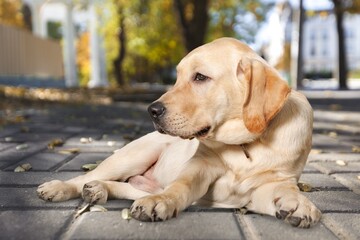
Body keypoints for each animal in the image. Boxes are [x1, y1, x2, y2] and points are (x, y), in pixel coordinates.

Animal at [38, 37, 322, 227]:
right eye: (176, 77)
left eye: (200, 77)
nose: (152, 110)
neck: (246, 144)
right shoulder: (199, 166)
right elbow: (180, 187)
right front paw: (163, 201)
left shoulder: (270, 185)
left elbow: (287, 191)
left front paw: (299, 204)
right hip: (134, 154)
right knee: (90, 176)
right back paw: (61, 187)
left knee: (126, 187)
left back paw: (99, 189)